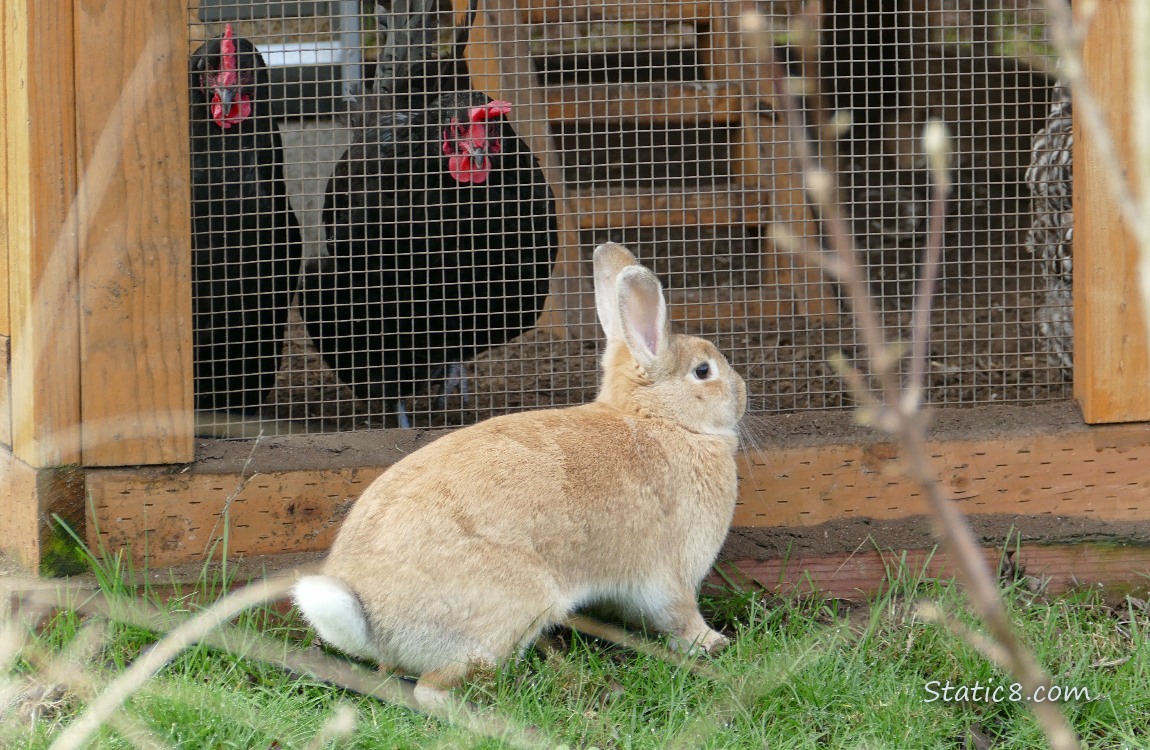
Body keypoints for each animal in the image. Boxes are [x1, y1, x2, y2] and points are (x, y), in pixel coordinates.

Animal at [292, 242, 749, 703]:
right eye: (704, 371)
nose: (743, 391)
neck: (662, 420)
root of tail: (371, 620)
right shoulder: (671, 576)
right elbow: (679, 617)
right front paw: (712, 642)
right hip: (509, 609)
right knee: (431, 689)